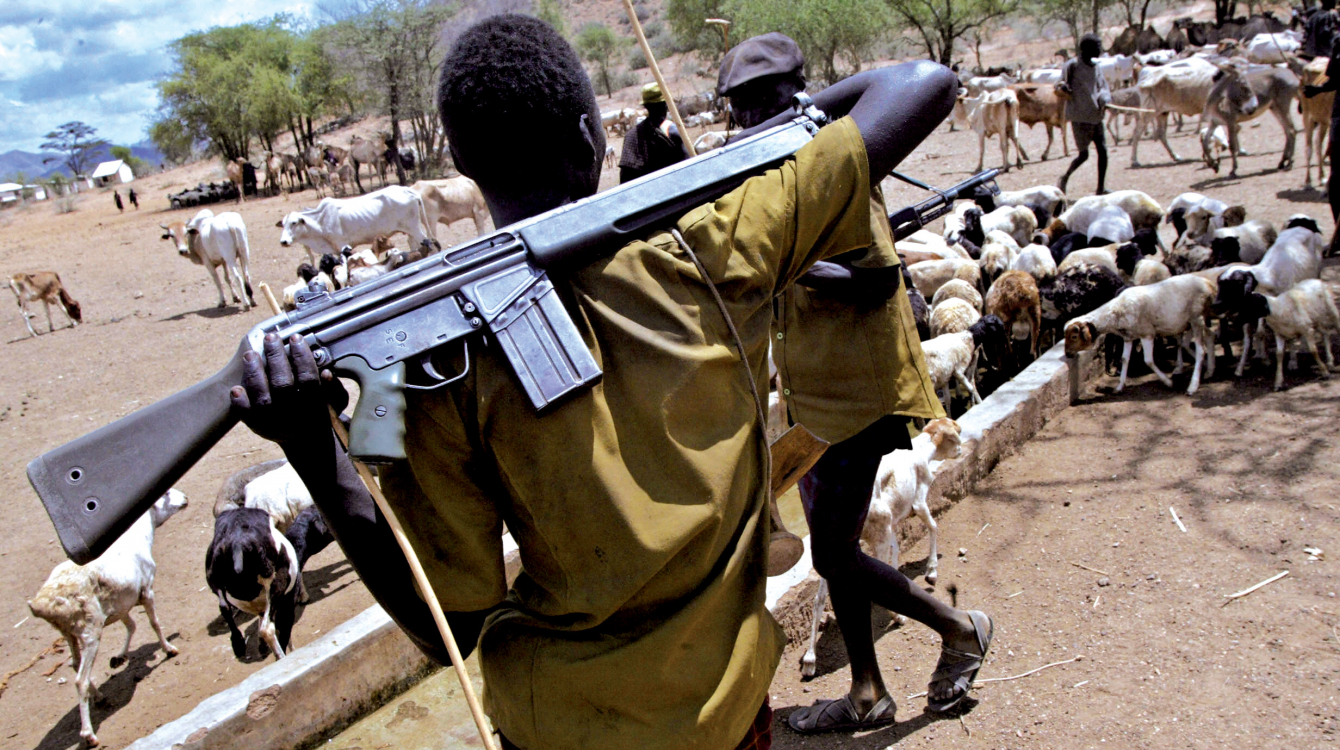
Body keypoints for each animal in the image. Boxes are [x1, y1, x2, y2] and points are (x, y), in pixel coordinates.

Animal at [29, 490, 188, 744]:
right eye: (164, 494)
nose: (185, 498)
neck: (139, 536)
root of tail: (42, 604)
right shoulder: (147, 590)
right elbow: (154, 623)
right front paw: (169, 649)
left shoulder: (121, 604)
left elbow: (131, 626)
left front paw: (120, 657)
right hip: (90, 630)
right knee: (80, 680)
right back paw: (89, 734)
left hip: (68, 632)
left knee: (75, 664)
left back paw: (100, 696)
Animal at [274, 183, 431, 262]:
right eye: (283, 224)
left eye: (294, 222)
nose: (283, 242)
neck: (320, 221)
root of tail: (408, 190)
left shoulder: (343, 245)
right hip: (411, 230)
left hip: (414, 228)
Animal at [793, 415, 964, 680]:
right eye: (957, 431)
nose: (960, 450)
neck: (922, 452)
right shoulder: (918, 502)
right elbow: (933, 527)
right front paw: (931, 572)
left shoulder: (892, 526)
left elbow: (896, 551)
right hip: (873, 534)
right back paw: (897, 616)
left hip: (831, 548)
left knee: (820, 597)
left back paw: (810, 660)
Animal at [1061, 271, 1222, 396]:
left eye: (1074, 337)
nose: (1068, 354)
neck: (1115, 312)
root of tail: (1209, 285)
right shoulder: (1128, 337)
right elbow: (1125, 359)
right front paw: (1119, 387)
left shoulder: (1147, 334)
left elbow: (1148, 360)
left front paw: (1168, 382)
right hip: (1198, 320)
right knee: (1210, 336)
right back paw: (1210, 370)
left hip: (1196, 318)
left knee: (1201, 350)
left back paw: (1192, 387)